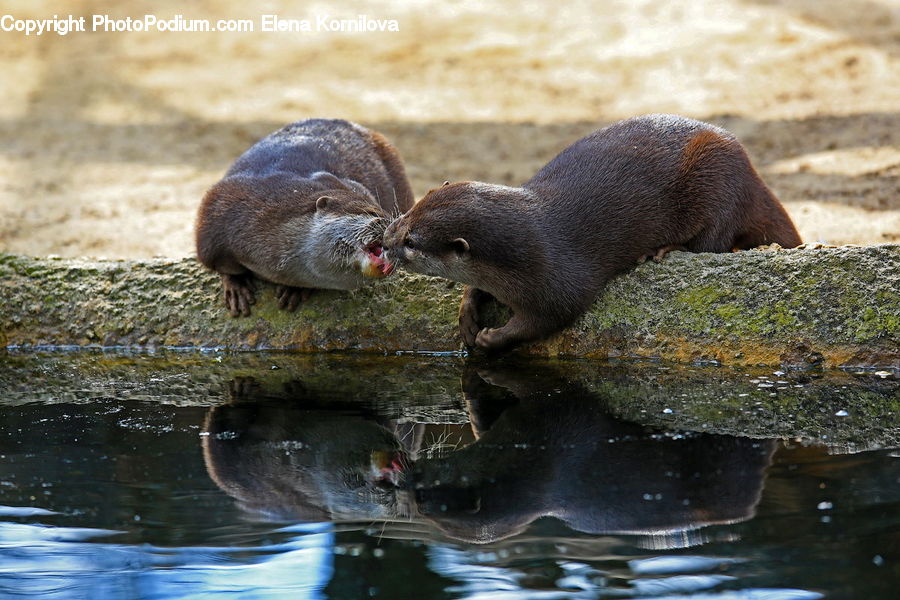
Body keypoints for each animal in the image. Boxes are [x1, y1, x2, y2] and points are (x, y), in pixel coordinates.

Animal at [196, 118, 414, 316]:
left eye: (386, 211)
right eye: (373, 212)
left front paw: (295, 290)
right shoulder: (219, 209)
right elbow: (220, 265)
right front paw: (236, 287)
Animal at [383, 114, 801, 351]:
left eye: (411, 241)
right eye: (409, 212)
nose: (386, 240)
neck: (532, 247)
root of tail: (750, 170)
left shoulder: (560, 283)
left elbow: (545, 320)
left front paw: (494, 337)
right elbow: (473, 290)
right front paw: (467, 317)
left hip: (718, 179)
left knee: (713, 242)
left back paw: (664, 250)